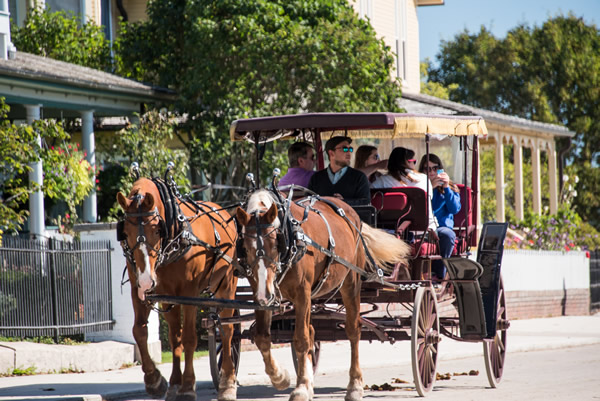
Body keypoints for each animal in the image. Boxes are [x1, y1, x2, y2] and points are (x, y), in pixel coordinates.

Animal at [116, 177, 238, 400]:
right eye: (125, 232)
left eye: (157, 230)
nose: (147, 280)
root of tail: (224, 213)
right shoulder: (142, 292)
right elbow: (140, 331)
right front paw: (155, 381)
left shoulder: (189, 293)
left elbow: (189, 338)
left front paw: (188, 386)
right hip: (169, 298)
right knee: (175, 336)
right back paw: (174, 383)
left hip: (226, 286)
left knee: (227, 330)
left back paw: (227, 382)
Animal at [236, 190, 412, 400]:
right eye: (246, 248)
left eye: (275, 244)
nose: (266, 293)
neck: (291, 238)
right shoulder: (261, 294)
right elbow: (263, 337)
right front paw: (281, 378)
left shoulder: (301, 293)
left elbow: (301, 339)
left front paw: (301, 388)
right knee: (313, 331)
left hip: (351, 283)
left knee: (353, 331)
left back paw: (355, 385)